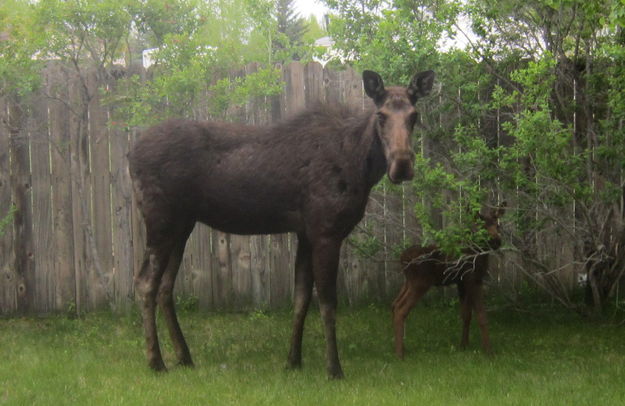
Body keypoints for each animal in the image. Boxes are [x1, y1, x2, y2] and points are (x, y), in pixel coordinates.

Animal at [128, 69, 434, 378]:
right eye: (381, 115)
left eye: (414, 115)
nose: (402, 165)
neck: (361, 167)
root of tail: (130, 155)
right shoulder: (326, 232)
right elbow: (327, 303)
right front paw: (334, 368)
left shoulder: (306, 233)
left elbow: (300, 299)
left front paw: (293, 361)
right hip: (161, 221)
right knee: (145, 283)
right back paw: (156, 361)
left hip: (182, 226)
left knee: (166, 287)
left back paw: (184, 356)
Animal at [392, 203, 504, 358]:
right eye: (482, 226)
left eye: (497, 224)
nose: (496, 241)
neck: (480, 253)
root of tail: (401, 258)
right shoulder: (474, 279)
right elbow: (481, 316)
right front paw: (489, 351)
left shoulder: (462, 282)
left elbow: (466, 314)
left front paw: (464, 345)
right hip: (420, 282)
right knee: (401, 309)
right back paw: (399, 354)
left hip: (409, 282)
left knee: (395, 303)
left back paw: (403, 348)